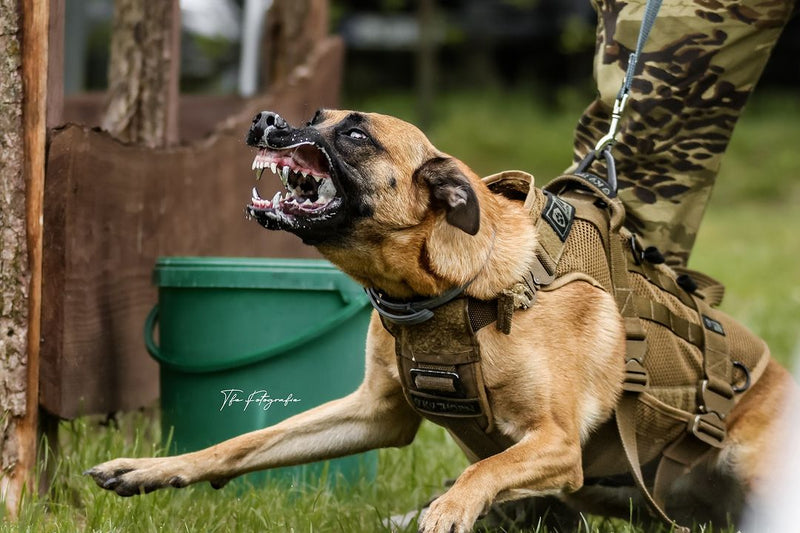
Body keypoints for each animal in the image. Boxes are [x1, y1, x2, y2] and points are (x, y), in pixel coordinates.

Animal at [84, 109, 796, 532]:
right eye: (315, 118)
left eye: (355, 134)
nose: (265, 118)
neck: (453, 289)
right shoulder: (374, 414)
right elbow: (248, 441)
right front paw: (155, 469)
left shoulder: (556, 442)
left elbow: (485, 470)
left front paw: (448, 510)